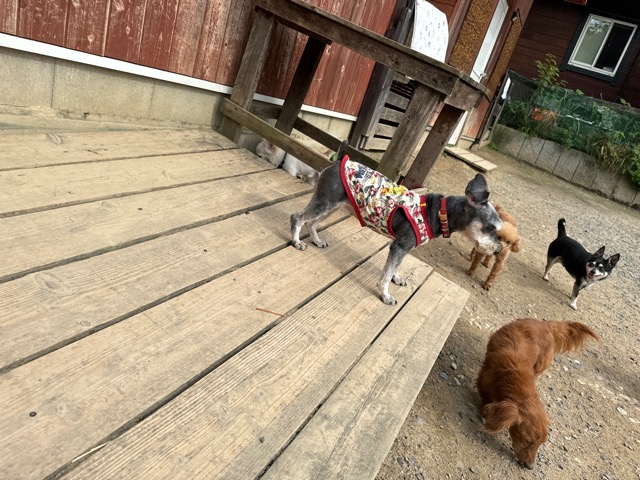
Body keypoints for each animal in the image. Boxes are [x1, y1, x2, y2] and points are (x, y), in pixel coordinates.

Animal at [291, 141, 503, 305]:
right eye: (490, 228)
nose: (499, 249)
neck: (437, 213)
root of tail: (338, 161)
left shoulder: (403, 247)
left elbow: (393, 267)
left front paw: (396, 278)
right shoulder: (400, 246)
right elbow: (385, 276)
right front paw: (386, 295)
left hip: (333, 206)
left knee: (311, 223)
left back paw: (317, 240)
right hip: (325, 202)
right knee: (298, 217)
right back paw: (297, 242)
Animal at [477, 318, 599, 469]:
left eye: (541, 443)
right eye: (528, 440)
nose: (530, 466)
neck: (513, 376)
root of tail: (544, 324)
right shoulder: (484, 379)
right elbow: (485, 396)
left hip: (541, 363)